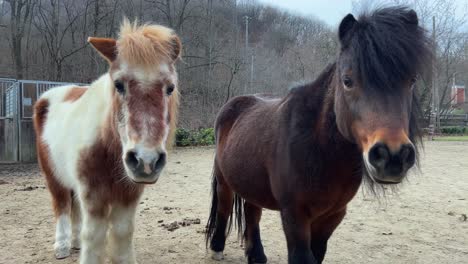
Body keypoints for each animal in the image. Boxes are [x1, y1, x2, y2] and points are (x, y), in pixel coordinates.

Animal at [32, 19, 181, 262]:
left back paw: (74, 243)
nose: (146, 162)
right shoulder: (94, 194)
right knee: (61, 205)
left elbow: (122, 232)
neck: (108, 149)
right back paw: (62, 246)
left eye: (170, 87)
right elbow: (94, 235)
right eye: (118, 84)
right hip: (54, 177)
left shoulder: (128, 194)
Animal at [205, 6, 432, 264]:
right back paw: (217, 248)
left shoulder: (332, 216)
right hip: (224, 181)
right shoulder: (295, 216)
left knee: (252, 213)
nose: (393, 156)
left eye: (412, 81)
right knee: (224, 207)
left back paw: (257, 256)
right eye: (347, 80)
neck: (319, 150)